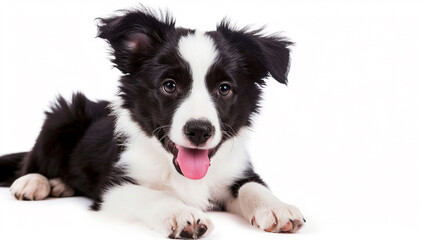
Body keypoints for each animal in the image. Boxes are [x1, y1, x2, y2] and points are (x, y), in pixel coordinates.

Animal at [0, 8, 304, 239]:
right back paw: (35, 182)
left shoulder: (236, 171)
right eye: (169, 85)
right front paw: (183, 214)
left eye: (224, 88)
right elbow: (152, 195)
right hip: (61, 116)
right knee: (31, 161)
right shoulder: (113, 187)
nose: (199, 131)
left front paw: (278, 208)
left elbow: (253, 186)